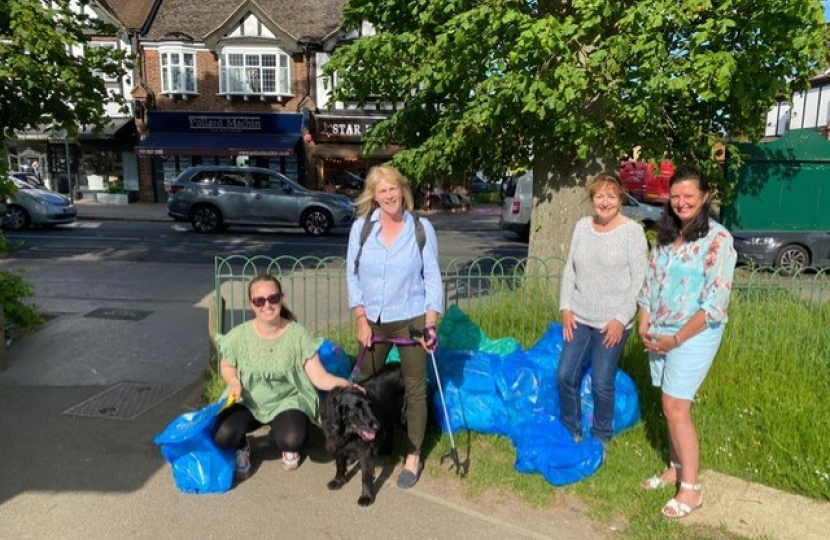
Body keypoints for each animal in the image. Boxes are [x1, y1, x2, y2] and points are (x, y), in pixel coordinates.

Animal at [322, 362, 406, 506]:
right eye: (357, 408)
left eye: (370, 405)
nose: (377, 426)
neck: (348, 432)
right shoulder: (337, 442)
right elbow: (340, 464)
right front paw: (338, 480)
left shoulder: (366, 451)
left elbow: (365, 477)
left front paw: (366, 496)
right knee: (390, 429)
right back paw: (386, 448)